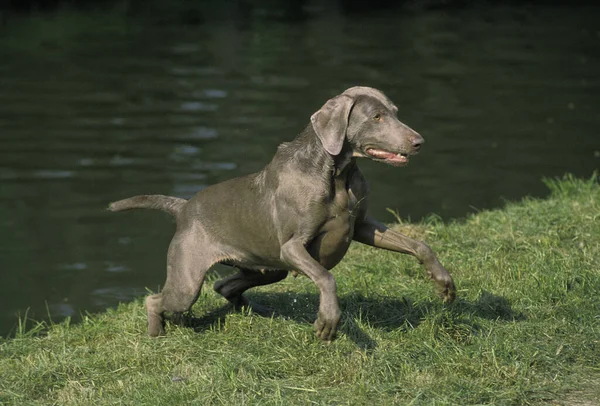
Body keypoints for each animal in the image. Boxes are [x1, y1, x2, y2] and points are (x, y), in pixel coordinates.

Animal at [109, 86, 454, 342]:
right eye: (377, 117)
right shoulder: (292, 246)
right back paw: (157, 333)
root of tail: (183, 207)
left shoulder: (362, 226)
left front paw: (443, 284)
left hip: (268, 267)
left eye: (395, 112)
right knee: (157, 300)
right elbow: (326, 277)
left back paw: (255, 310)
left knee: (225, 287)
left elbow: (419, 245)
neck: (337, 173)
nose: (419, 142)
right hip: (189, 277)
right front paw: (328, 320)